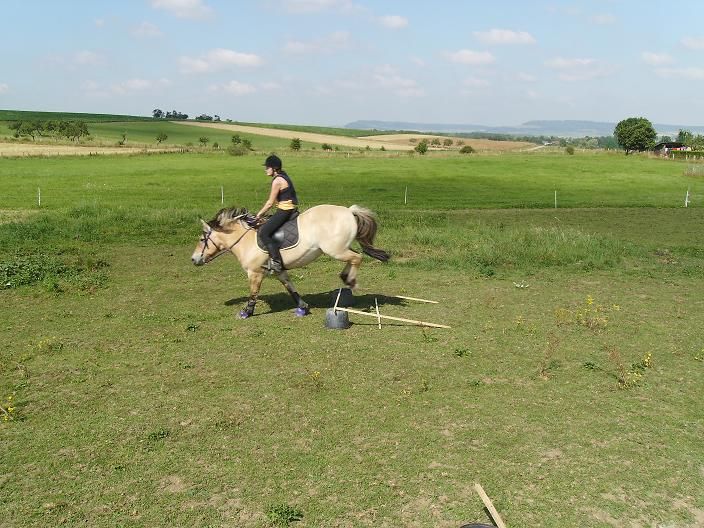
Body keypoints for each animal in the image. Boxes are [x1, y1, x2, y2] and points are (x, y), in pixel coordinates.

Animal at [191, 204, 390, 318]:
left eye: (201, 239)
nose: (193, 259)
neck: (245, 239)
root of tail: (349, 211)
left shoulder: (255, 273)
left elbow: (253, 293)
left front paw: (246, 312)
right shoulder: (280, 271)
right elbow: (290, 288)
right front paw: (302, 307)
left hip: (335, 250)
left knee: (357, 257)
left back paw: (351, 280)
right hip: (340, 248)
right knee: (354, 257)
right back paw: (345, 277)